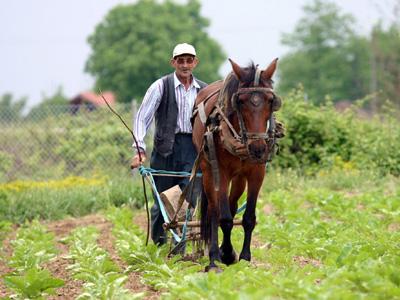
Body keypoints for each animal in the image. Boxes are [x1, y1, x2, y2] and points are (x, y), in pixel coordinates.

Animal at [191, 57, 282, 270]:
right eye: (240, 102)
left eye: (271, 101)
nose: (257, 148)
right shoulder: (221, 172)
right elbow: (223, 218)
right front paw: (222, 256)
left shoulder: (257, 172)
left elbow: (248, 217)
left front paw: (244, 258)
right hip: (208, 170)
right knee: (214, 210)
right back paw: (214, 257)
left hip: (239, 177)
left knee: (232, 206)